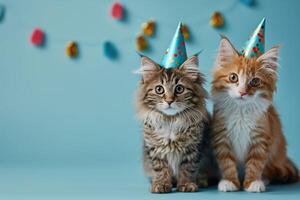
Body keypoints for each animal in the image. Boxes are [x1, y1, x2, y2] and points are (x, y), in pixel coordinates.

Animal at [136, 55, 213, 193]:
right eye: (159, 89)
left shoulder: (193, 149)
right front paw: (161, 184)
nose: (169, 100)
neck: (171, 120)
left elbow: (187, 169)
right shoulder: (155, 150)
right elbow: (161, 169)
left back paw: (201, 182)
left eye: (179, 89)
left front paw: (186, 185)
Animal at [211, 36, 298, 193]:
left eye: (255, 81)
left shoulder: (261, 138)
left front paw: (252, 183)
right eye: (233, 77)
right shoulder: (221, 137)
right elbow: (227, 163)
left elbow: (255, 164)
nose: (242, 92)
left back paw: (264, 179)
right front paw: (229, 182)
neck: (241, 111)